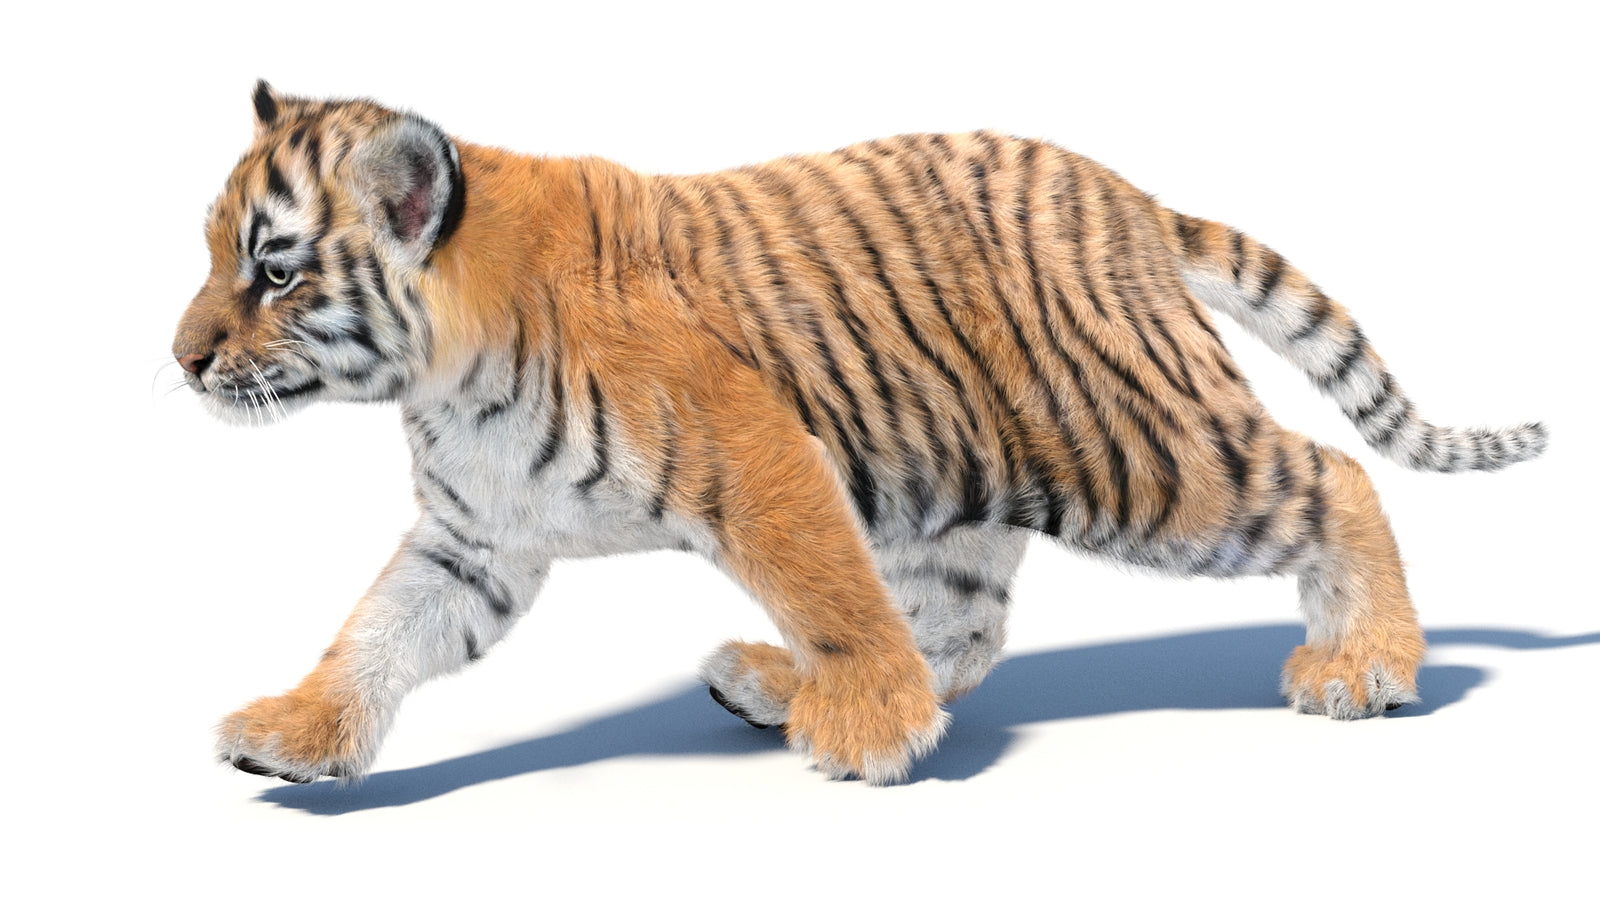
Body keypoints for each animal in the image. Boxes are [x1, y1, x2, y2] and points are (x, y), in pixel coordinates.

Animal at [173, 81, 1547, 787]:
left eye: (275, 272)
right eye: (215, 253)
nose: (182, 358)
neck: (444, 372)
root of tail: (1122, 195)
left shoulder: (759, 451)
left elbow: (825, 584)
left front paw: (872, 731)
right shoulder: (476, 540)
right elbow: (378, 634)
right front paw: (296, 737)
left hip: (1140, 457)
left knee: (1334, 474)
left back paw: (1363, 667)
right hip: (960, 483)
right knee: (966, 625)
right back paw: (778, 686)